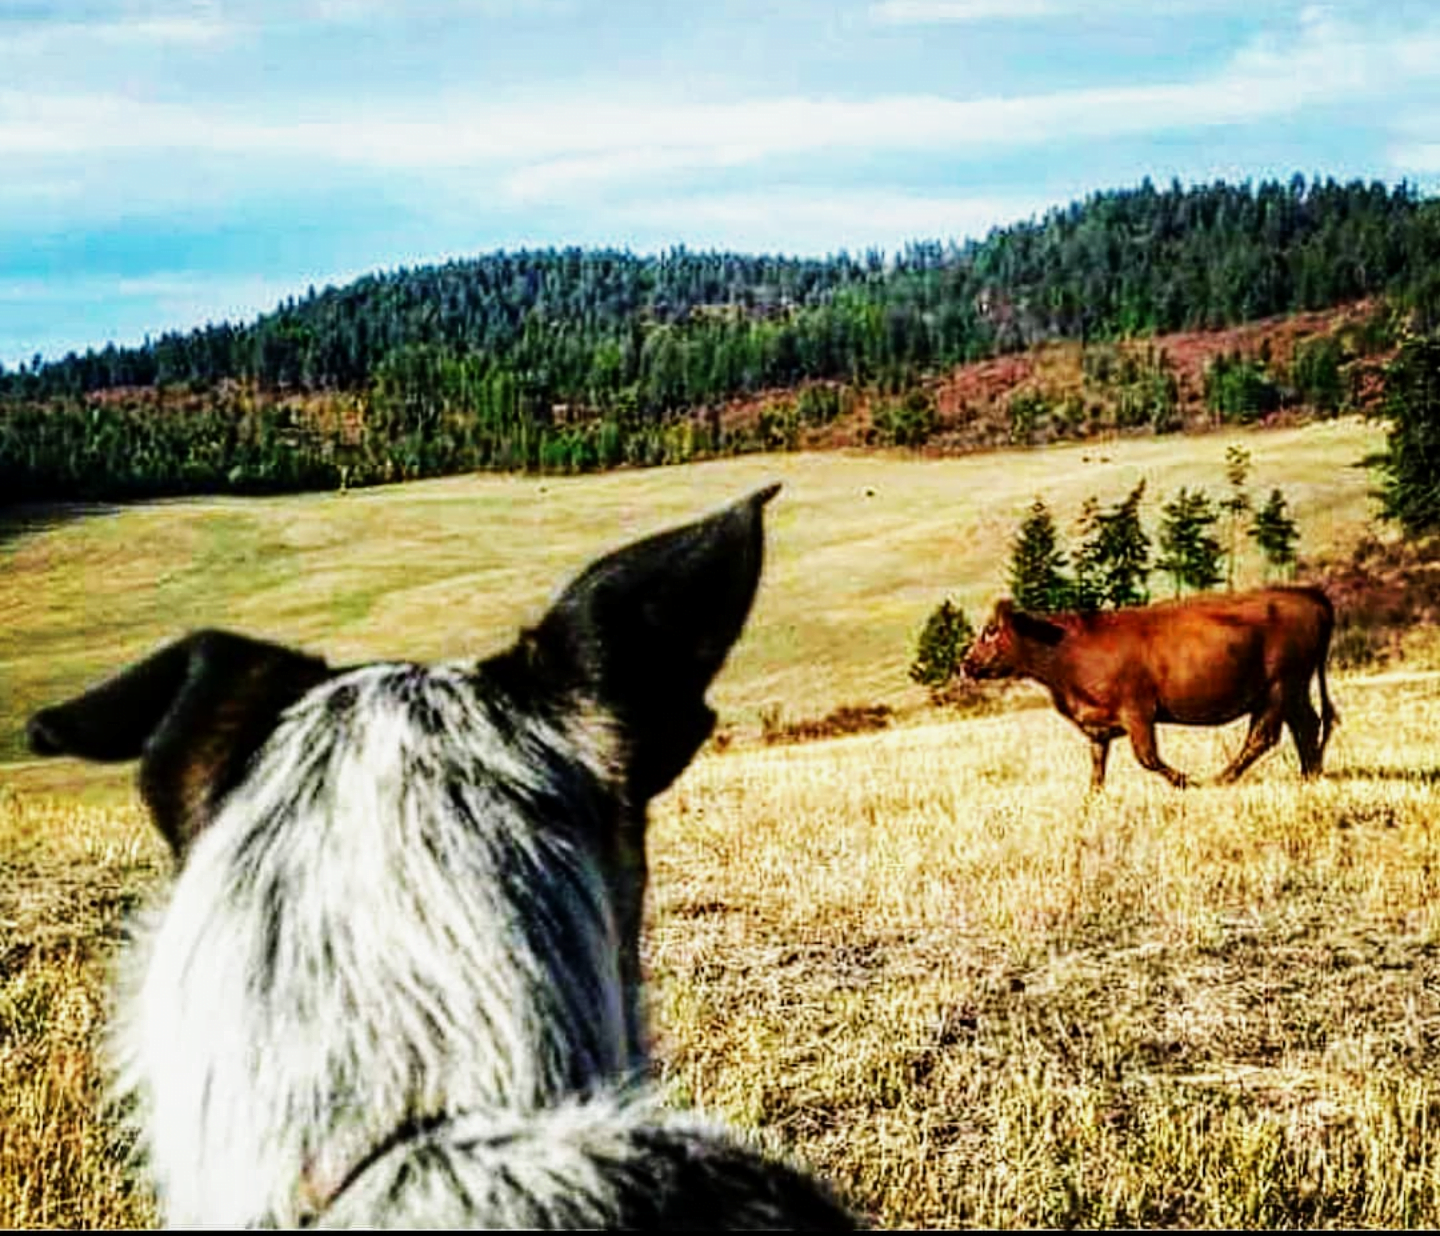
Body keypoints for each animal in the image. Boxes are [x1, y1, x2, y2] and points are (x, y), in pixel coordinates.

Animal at [961, 587, 1342, 789]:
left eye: (990, 630)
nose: (965, 662)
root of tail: (1306, 593)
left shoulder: (1137, 712)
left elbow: (1148, 758)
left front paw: (1185, 781)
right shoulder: (1098, 725)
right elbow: (1097, 767)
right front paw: (1092, 800)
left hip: (1279, 687)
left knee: (1263, 737)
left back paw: (1220, 779)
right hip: (1291, 690)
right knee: (1306, 726)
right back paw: (1310, 775)